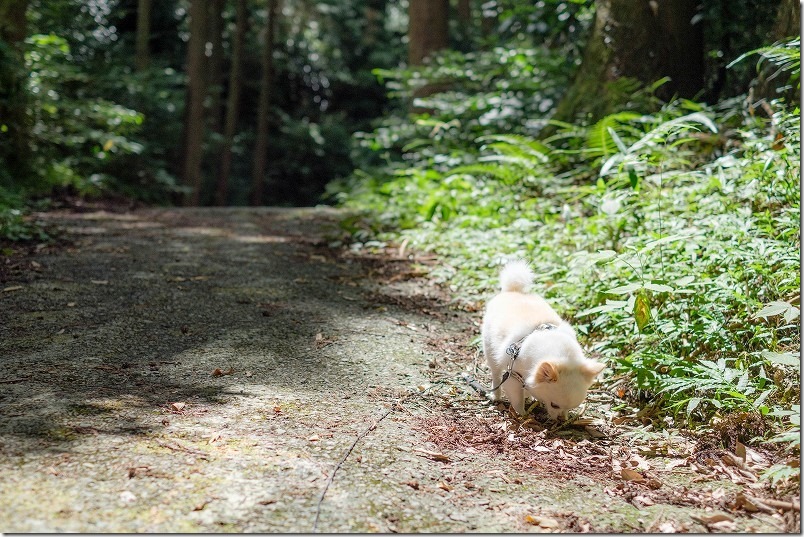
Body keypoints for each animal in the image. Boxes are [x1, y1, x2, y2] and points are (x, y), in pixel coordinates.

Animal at [480, 260, 608, 418]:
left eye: (571, 408)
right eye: (554, 405)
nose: (561, 419)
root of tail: (513, 291)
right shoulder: (512, 376)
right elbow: (517, 399)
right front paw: (523, 415)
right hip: (491, 353)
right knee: (496, 375)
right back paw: (496, 396)